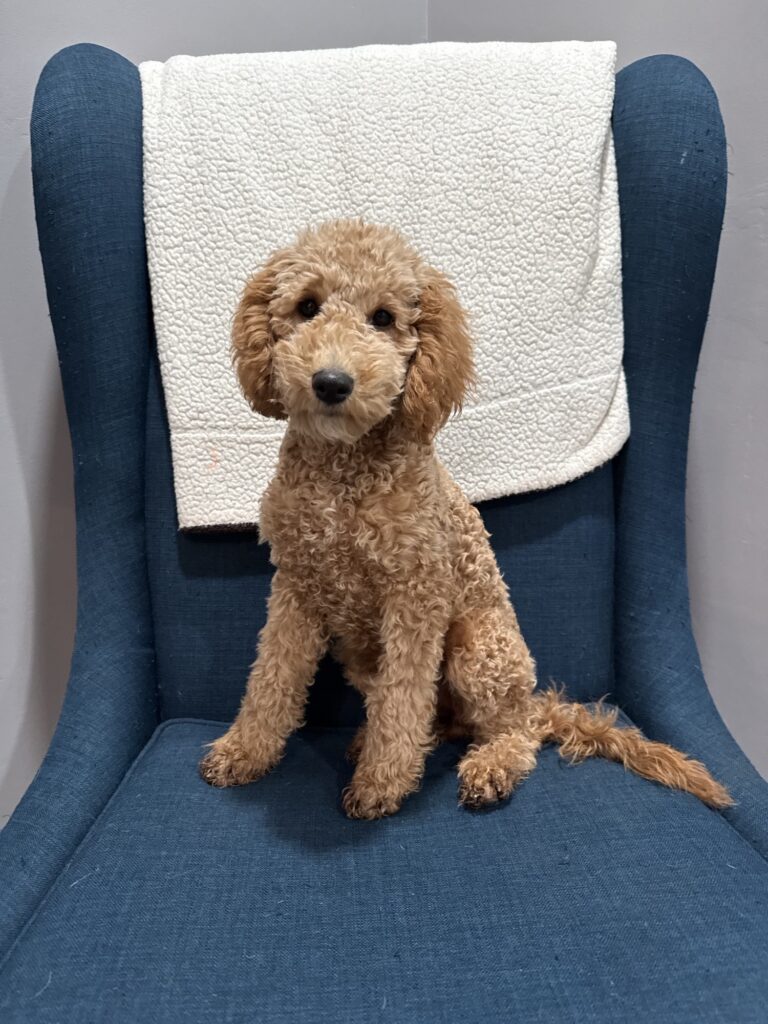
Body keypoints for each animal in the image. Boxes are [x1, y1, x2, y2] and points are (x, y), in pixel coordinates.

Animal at [199, 218, 732, 820]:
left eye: (383, 318)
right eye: (307, 306)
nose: (332, 382)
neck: (343, 475)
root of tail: (536, 701)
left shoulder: (415, 595)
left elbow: (404, 699)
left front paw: (382, 783)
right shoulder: (296, 586)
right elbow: (272, 678)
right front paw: (245, 751)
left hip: (478, 651)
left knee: (510, 731)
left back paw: (488, 767)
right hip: (363, 653)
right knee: (437, 720)